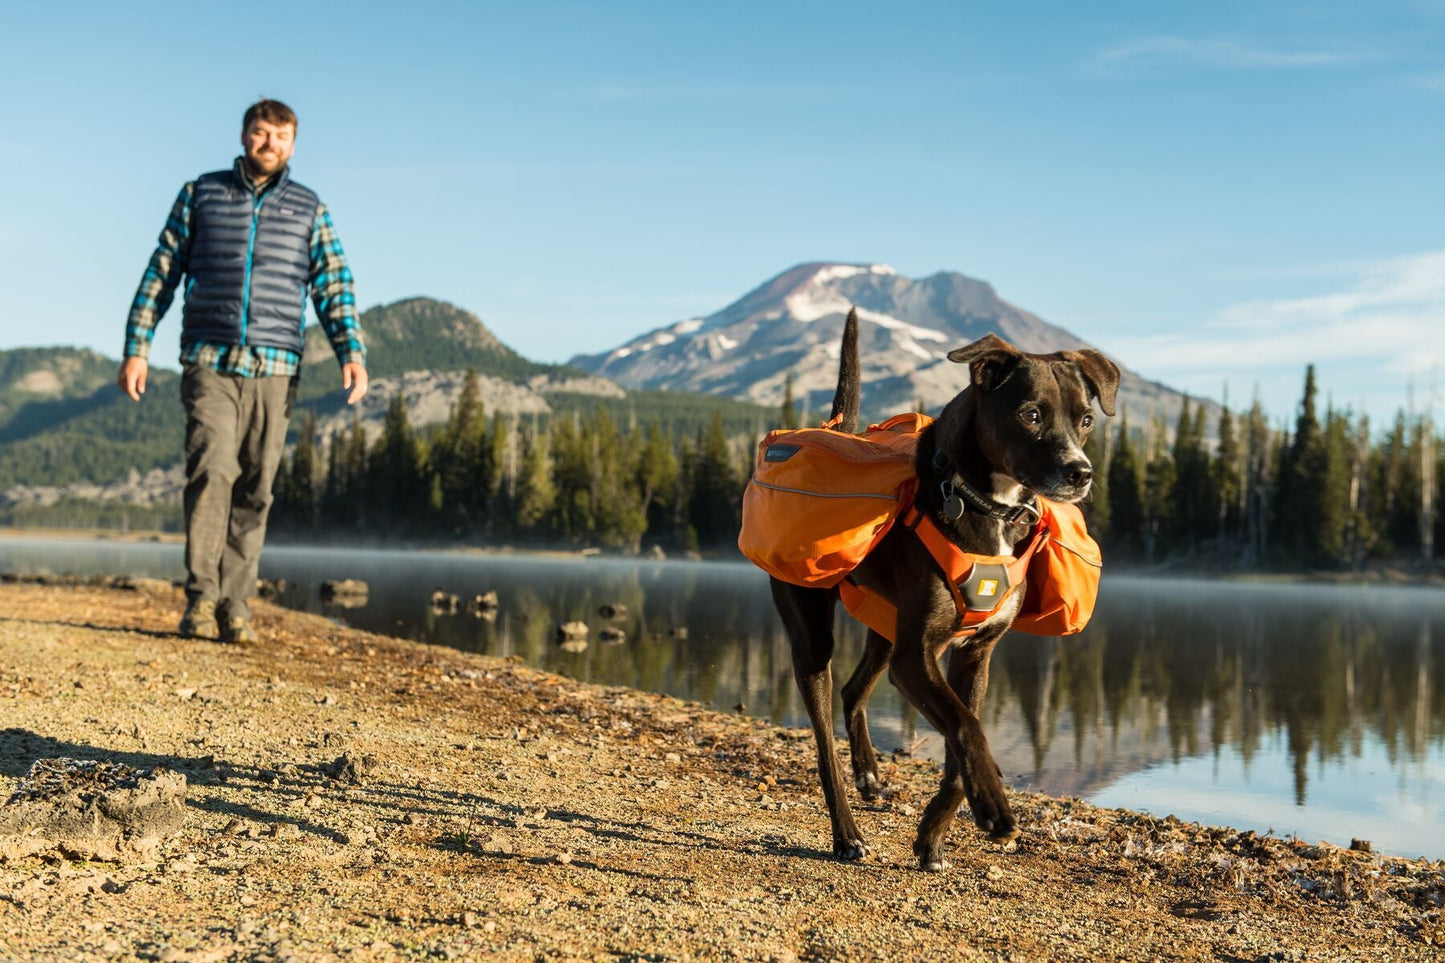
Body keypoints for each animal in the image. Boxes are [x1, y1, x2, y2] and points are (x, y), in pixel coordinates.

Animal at [768, 310, 1115, 867]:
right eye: (1031, 415)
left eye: (1086, 420)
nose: (1079, 473)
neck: (987, 505)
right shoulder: (917, 656)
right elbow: (968, 728)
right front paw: (993, 804)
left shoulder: (973, 653)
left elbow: (960, 739)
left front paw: (933, 834)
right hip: (814, 633)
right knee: (823, 743)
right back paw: (846, 832)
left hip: (885, 630)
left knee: (854, 690)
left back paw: (869, 776)